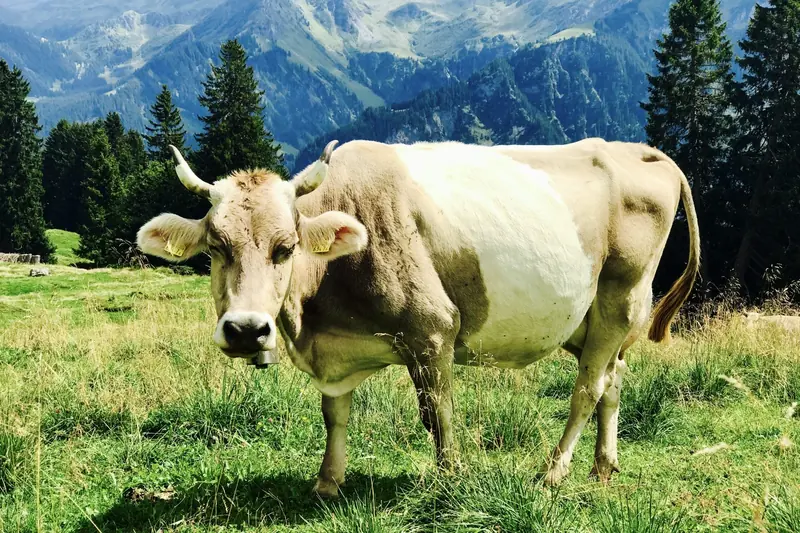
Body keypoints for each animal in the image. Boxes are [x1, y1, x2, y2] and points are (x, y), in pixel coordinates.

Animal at [136, 138, 700, 496]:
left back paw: (553, 473)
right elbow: (334, 414)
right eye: (216, 246)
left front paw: (450, 476)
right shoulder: (334, 355)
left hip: (620, 298)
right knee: (613, 381)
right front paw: (328, 481)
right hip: (594, 322)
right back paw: (603, 466)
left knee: (587, 388)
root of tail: (639, 150)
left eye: (285, 247)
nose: (246, 330)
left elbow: (438, 413)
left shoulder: (432, 331)